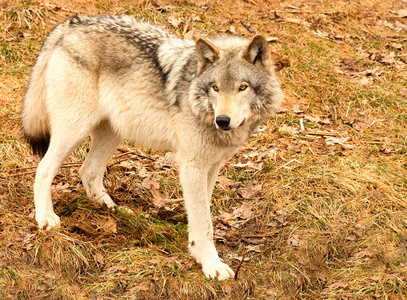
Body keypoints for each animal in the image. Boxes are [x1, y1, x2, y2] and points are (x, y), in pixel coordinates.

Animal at [21, 14, 284, 280]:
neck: (197, 101)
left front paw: (196, 252)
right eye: (215, 88)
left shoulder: (211, 166)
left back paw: (114, 211)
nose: (223, 120)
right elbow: (204, 222)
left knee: (88, 171)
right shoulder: (192, 166)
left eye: (243, 87)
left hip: (113, 131)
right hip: (74, 129)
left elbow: (202, 214)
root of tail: (73, 23)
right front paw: (212, 265)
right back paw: (45, 218)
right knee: (44, 169)